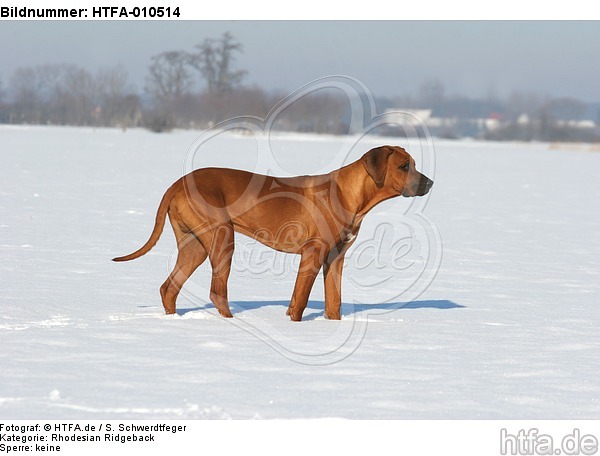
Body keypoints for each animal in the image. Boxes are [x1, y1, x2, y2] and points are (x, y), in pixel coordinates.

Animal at [112, 146, 432, 320]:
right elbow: (299, 302)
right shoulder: (313, 253)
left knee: (169, 288)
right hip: (222, 238)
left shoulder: (335, 258)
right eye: (404, 166)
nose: (430, 183)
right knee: (217, 292)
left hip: (194, 246)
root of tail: (177, 182)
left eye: (415, 165)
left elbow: (334, 303)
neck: (349, 195)